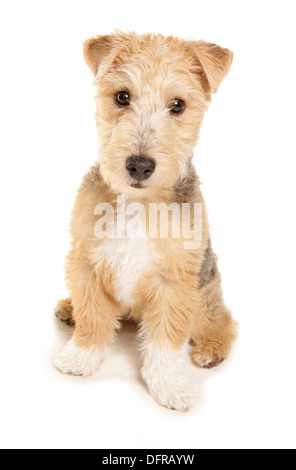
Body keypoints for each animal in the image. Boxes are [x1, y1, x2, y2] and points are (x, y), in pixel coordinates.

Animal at [53, 31, 238, 410]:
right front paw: (80, 357)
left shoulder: (174, 281)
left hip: (205, 293)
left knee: (223, 320)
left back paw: (211, 349)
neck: (138, 204)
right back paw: (69, 307)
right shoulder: (86, 262)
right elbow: (92, 318)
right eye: (122, 97)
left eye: (178, 105)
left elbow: (166, 341)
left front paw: (169, 386)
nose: (139, 165)